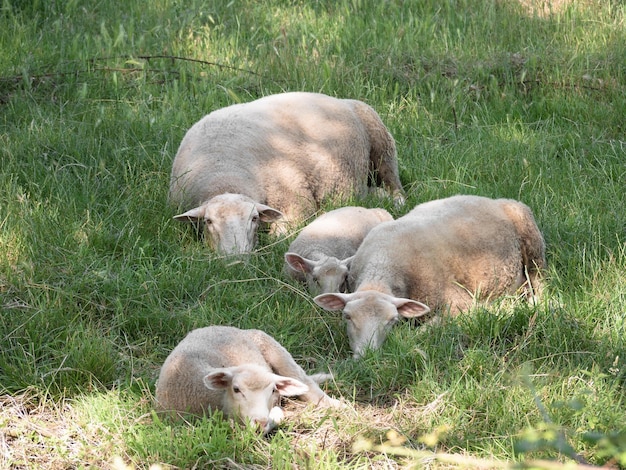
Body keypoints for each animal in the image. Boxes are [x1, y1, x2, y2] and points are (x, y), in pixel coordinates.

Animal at [156, 326, 342, 434]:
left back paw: (338, 406)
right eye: (236, 389)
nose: (261, 422)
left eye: (273, 390)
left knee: (307, 383)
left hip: (276, 350)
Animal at [168, 91, 402, 253]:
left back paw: (394, 199)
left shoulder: (295, 201)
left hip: (381, 141)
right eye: (208, 221)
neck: (224, 174)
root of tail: (336, 99)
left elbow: (277, 237)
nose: (235, 258)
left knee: (393, 180)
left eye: (254, 219)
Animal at [314, 196, 544, 358]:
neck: (382, 267)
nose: (366, 357)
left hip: (533, 246)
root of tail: (491, 200)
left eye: (392, 320)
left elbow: (422, 331)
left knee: (540, 283)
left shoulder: (461, 303)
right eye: (347, 316)